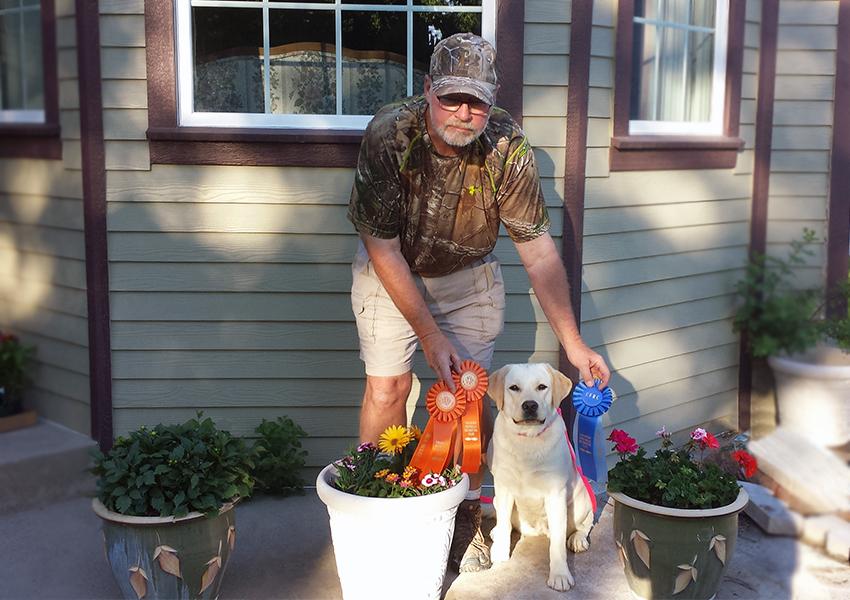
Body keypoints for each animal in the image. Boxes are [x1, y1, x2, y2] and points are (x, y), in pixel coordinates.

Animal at [486, 360, 592, 592]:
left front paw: (560, 575)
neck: (528, 439)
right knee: (506, 523)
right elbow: (505, 523)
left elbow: (557, 545)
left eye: (542, 387)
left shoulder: (555, 492)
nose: (530, 405)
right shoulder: (503, 486)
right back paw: (497, 533)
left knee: (583, 525)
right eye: (514, 388)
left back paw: (578, 539)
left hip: (581, 501)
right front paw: (500, 553)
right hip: (497, 499)